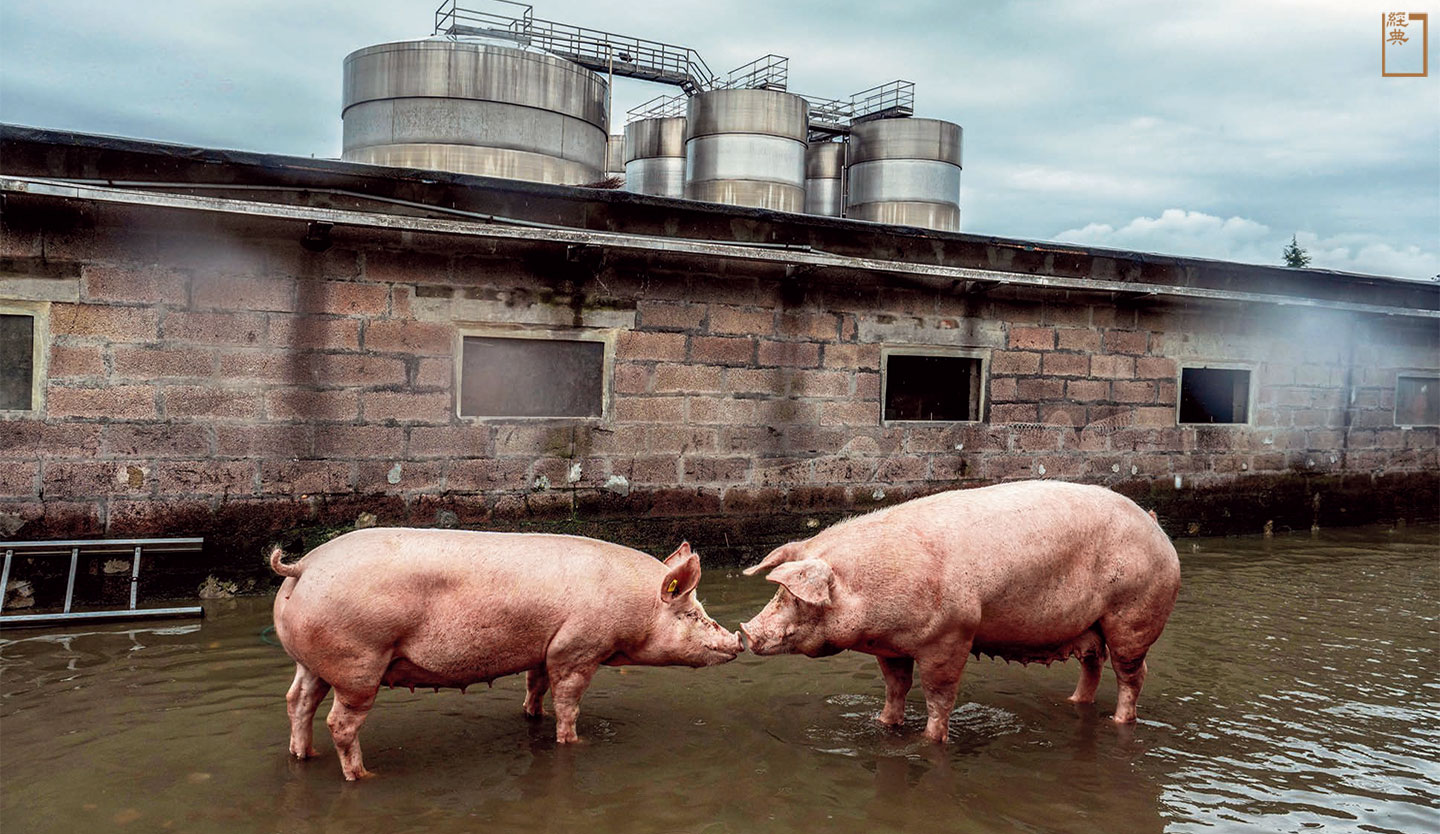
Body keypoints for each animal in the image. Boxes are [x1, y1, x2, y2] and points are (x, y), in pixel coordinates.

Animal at [270, 532, 743, 777]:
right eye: (691, 613)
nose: (738, 642)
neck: (634, 607)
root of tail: (304, 565)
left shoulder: (545, 649)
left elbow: (536, 685)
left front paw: (532, 716)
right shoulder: (577, 649)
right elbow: (568, 702)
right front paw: (574, 741)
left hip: (310, 662)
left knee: (298, 702)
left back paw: (304, 757)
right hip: (358, 663)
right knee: (339, 722)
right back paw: (362, 775)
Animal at [743, 483, 1180, 743]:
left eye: (794, 597)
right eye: (778, 592)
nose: (746, 631)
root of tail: (1155, 526)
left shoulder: (951, 635)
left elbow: (939, 696)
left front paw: (930, 740)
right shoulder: (892, 648)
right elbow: (895, 687)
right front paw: (884, 724)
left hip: (1134, 615)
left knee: (1132, 674)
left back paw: (1118, 722)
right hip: (1092, 624)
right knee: (1093, 662)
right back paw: (1075, 702)